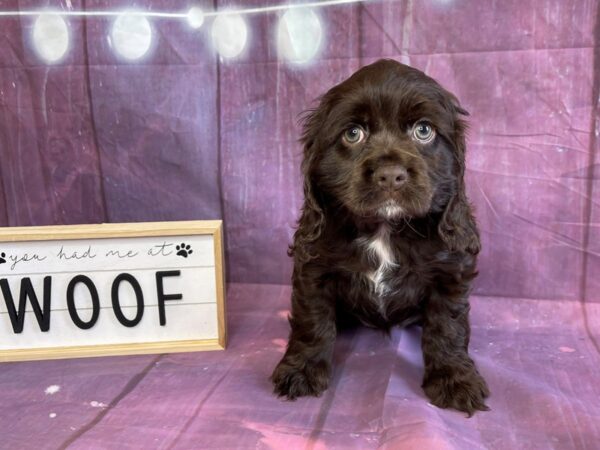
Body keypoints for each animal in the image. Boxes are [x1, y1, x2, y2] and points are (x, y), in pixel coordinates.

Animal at [272, 59, 488, 414]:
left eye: (424, 130)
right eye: (353, 134)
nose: (390, 175)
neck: (384, 227)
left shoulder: (450, 272)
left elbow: (448, 326)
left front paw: (455, 380)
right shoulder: (314, 268)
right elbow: (312, 322)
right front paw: (301, 370)